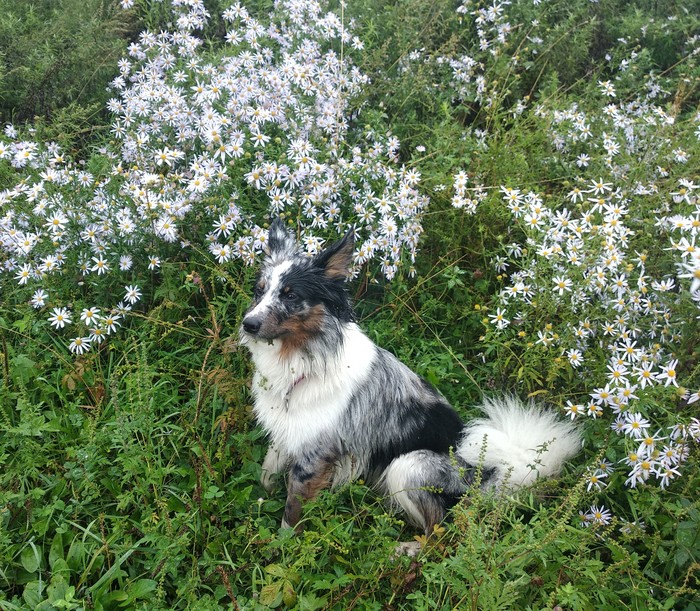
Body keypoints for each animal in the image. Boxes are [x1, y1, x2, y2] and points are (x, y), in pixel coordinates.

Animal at [240, 219, 581, 544]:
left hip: (409, 465)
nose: (248, 324)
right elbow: (267, 472)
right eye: (259, 291)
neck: (304, 356)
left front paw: (283, 547)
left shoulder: (314, 456)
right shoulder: (287, 433)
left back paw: (405, 552)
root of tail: (488, 479)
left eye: (291, 295)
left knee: (441, 535)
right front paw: (258, 503)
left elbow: (291, 512)